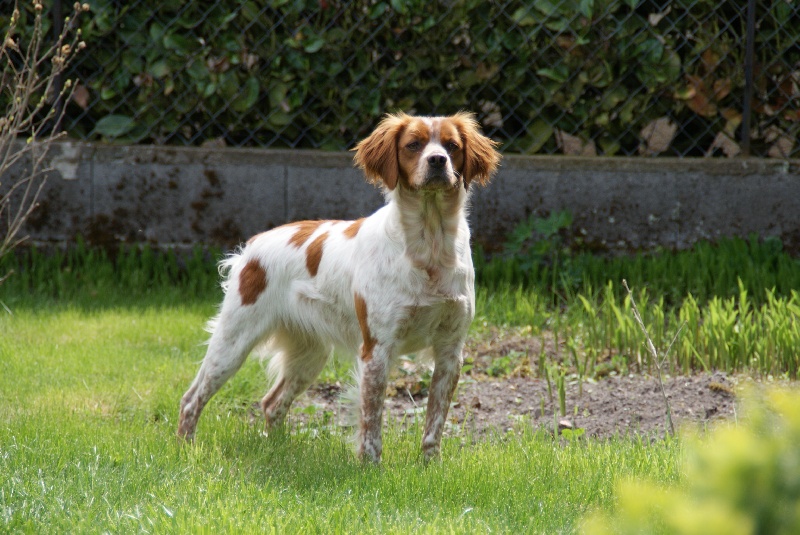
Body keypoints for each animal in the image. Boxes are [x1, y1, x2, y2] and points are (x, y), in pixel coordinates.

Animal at [181, 112, 500, 460]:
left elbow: (435, 422)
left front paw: (430, 465)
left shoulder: (450, 351)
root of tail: (250, 248)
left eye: (452, 146)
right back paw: (187, 450)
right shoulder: (377, 348)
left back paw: (278, 451)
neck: (429, 247)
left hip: (309, 355)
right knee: (191, 399)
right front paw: (371, 466)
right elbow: (371, 424)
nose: (438, 161)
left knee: (271, 403)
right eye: (413, 145)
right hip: (233, 342)